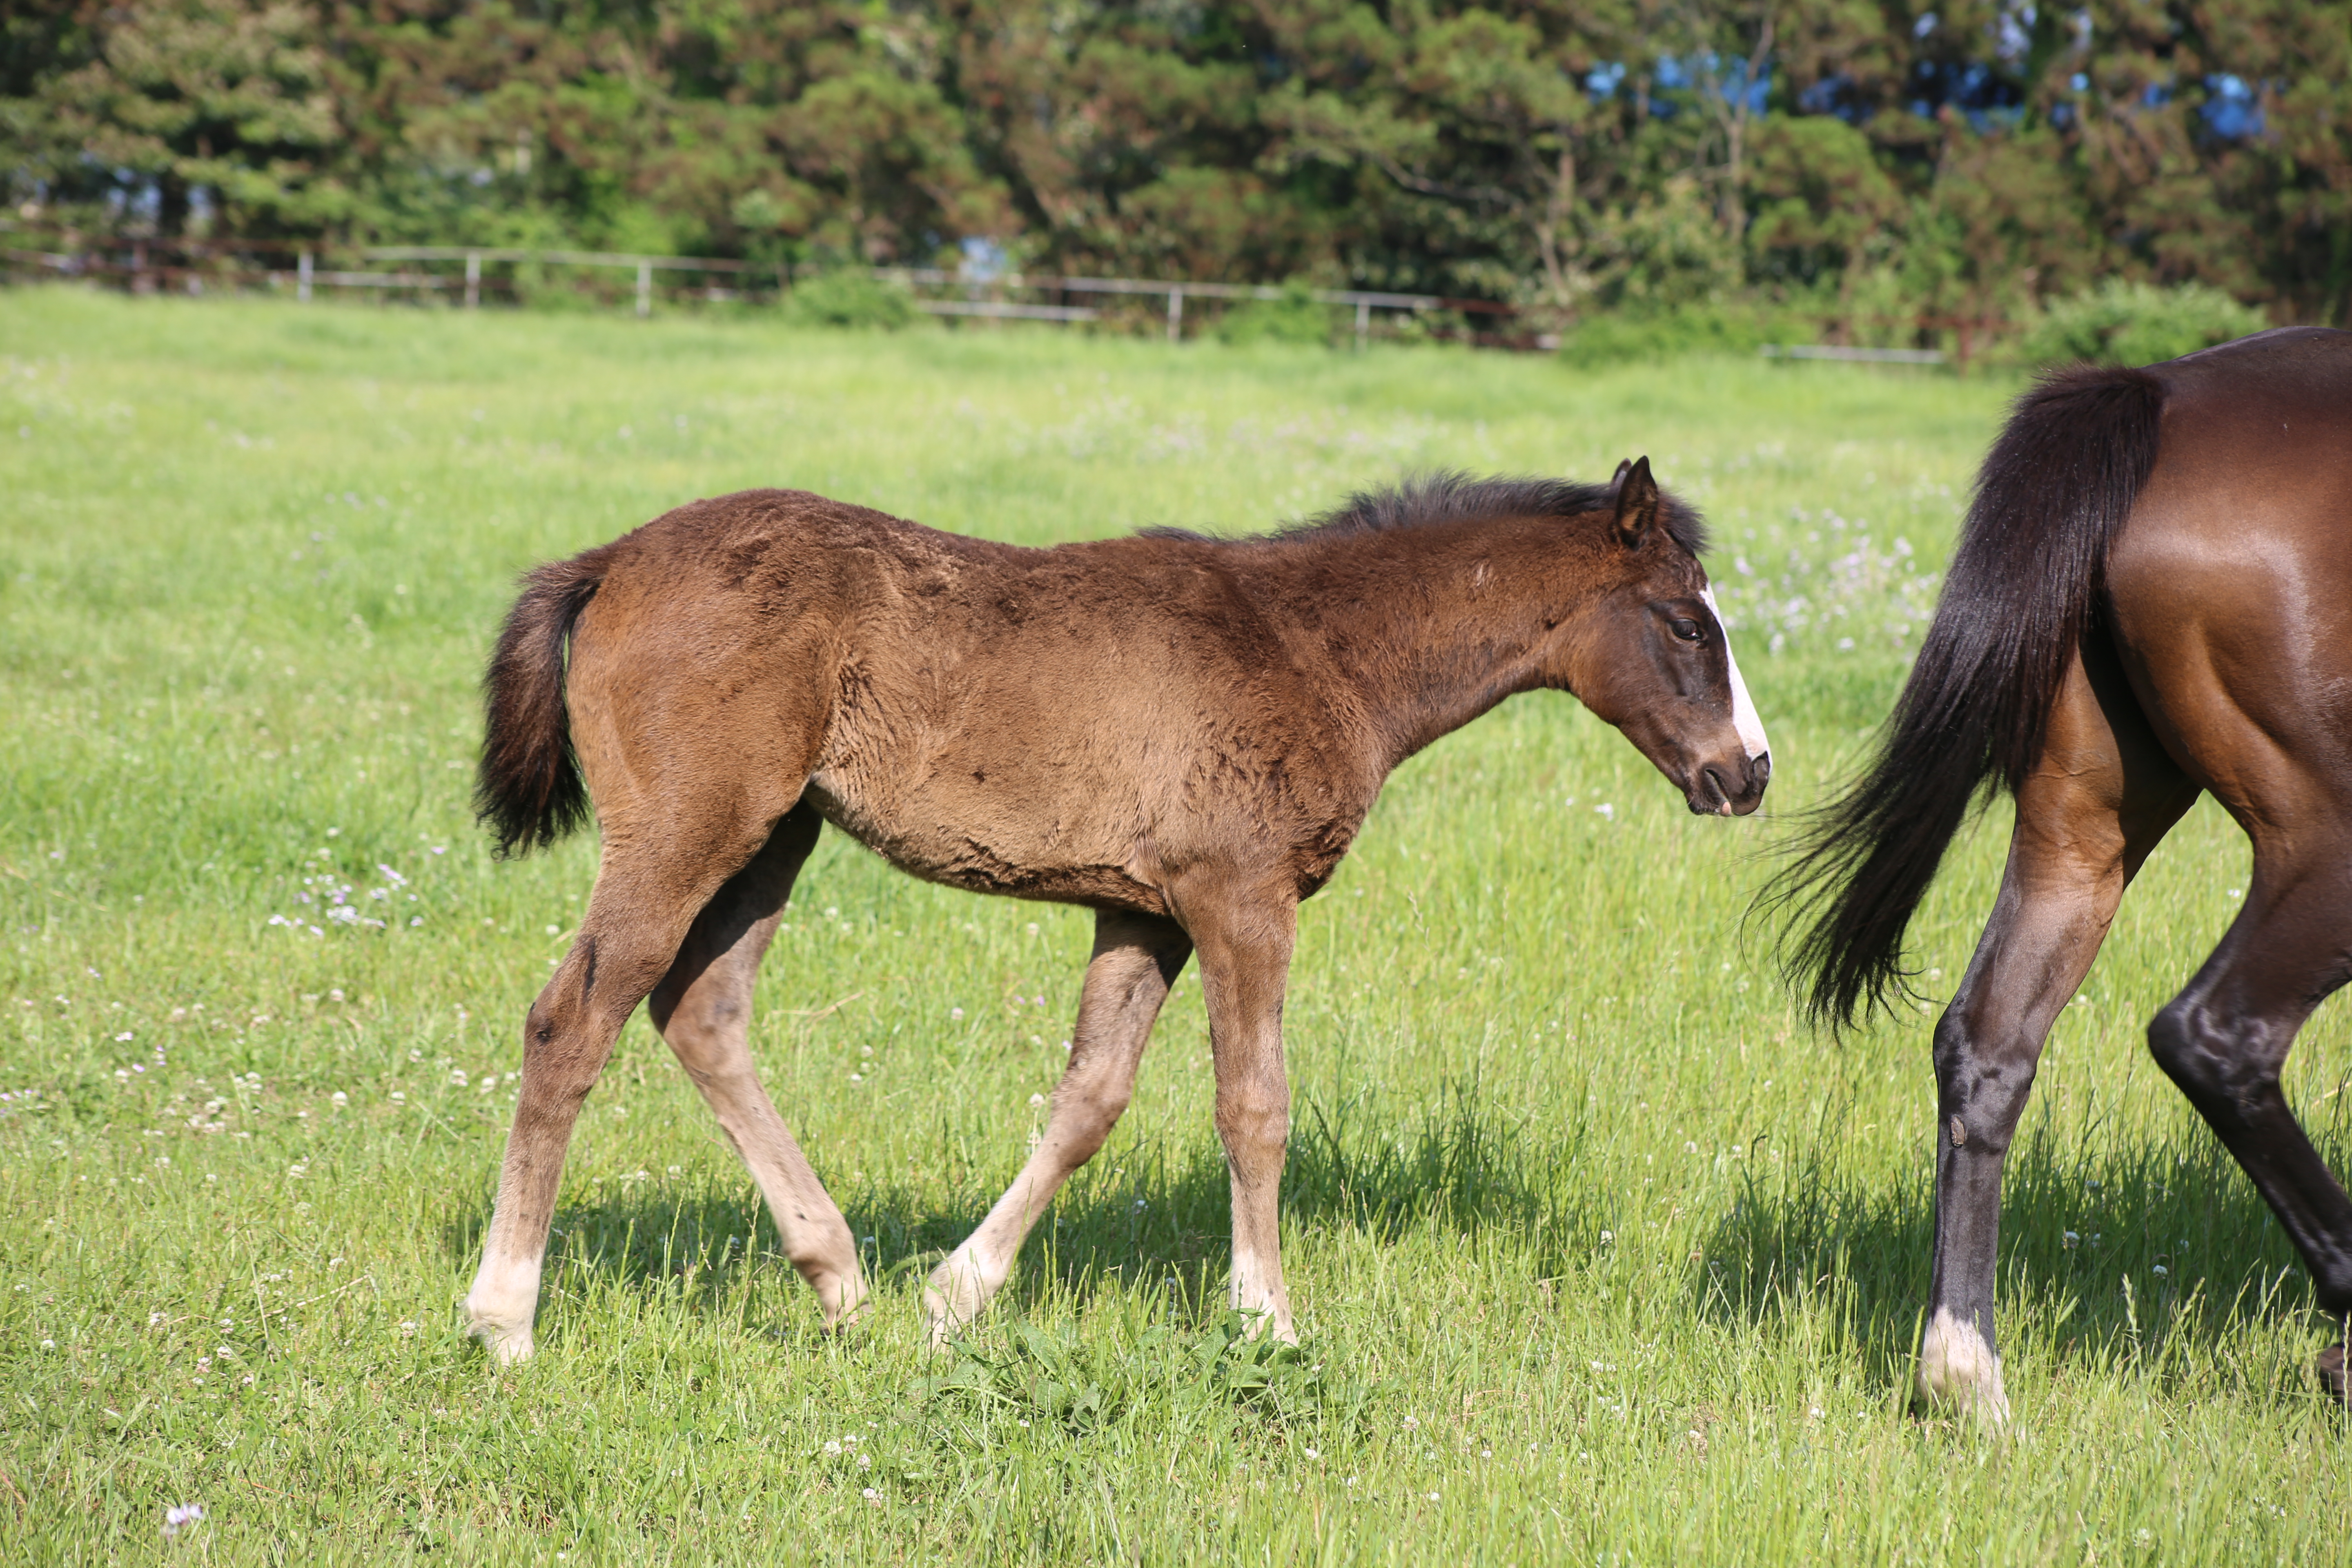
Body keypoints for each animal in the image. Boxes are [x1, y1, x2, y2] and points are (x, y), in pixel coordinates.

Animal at [463, 456, 1768, 1363]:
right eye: (1686, 623)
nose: (1747, 773)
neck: (1315, 650)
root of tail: (612, 558)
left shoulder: (1147, 911)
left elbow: (1089, 1101)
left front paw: (956, 1297)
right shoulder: (1242, 898)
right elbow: (1255, 1108)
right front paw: (1268, 1321)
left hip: (774, 836)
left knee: (700, 1012)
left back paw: (837, 1277)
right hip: (687, 831)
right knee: (570, 1022)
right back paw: (504, 1320)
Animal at [1768, 329, 2352, 1420]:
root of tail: (2159, 394)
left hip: (2079, 828)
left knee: (1986, 1042)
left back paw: (1964, 1376)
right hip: (2322, 842)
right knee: (2215, 1034)